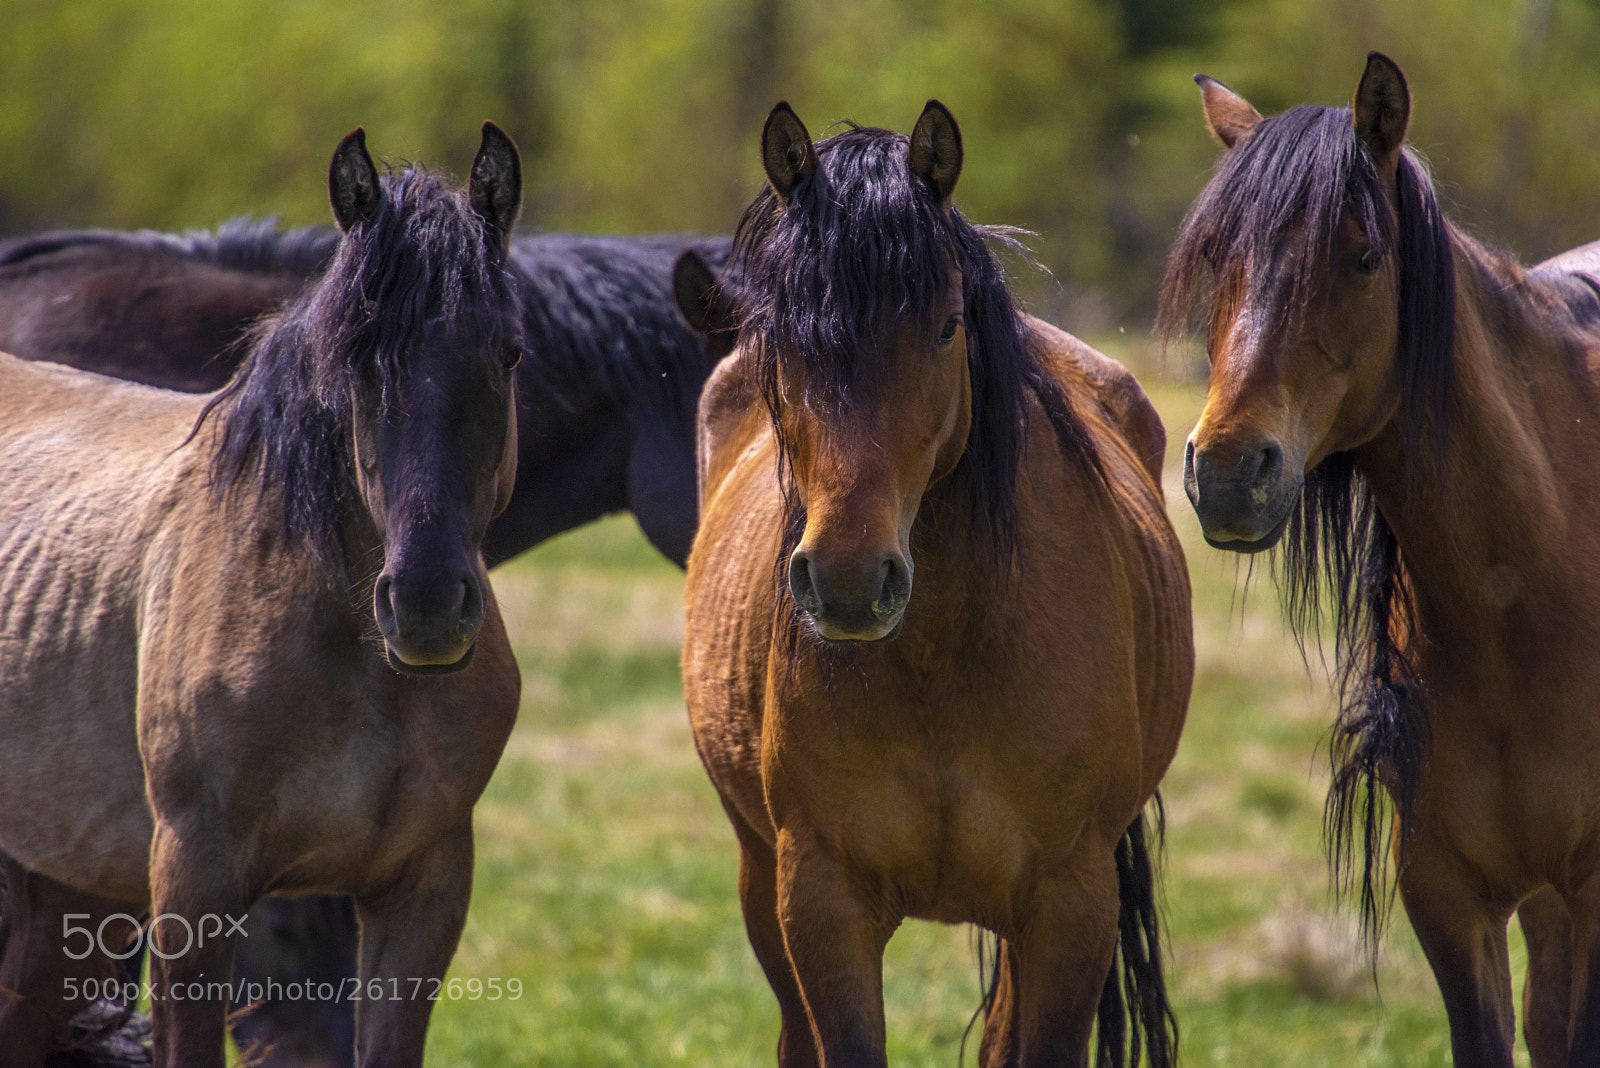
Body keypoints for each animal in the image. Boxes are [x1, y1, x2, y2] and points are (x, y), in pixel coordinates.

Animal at [0, 123, 525, 1068]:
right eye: (352, 357)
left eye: (508, 351)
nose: (427, 608)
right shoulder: (195, 889)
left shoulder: (420, 894)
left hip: (67, 891)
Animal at [682, 100, 1192, 1067]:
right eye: (784, 337)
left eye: (949, 325)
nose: (848, 581)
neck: (945, 662)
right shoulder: (821, 899)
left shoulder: (1071, 903)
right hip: (758, 874)